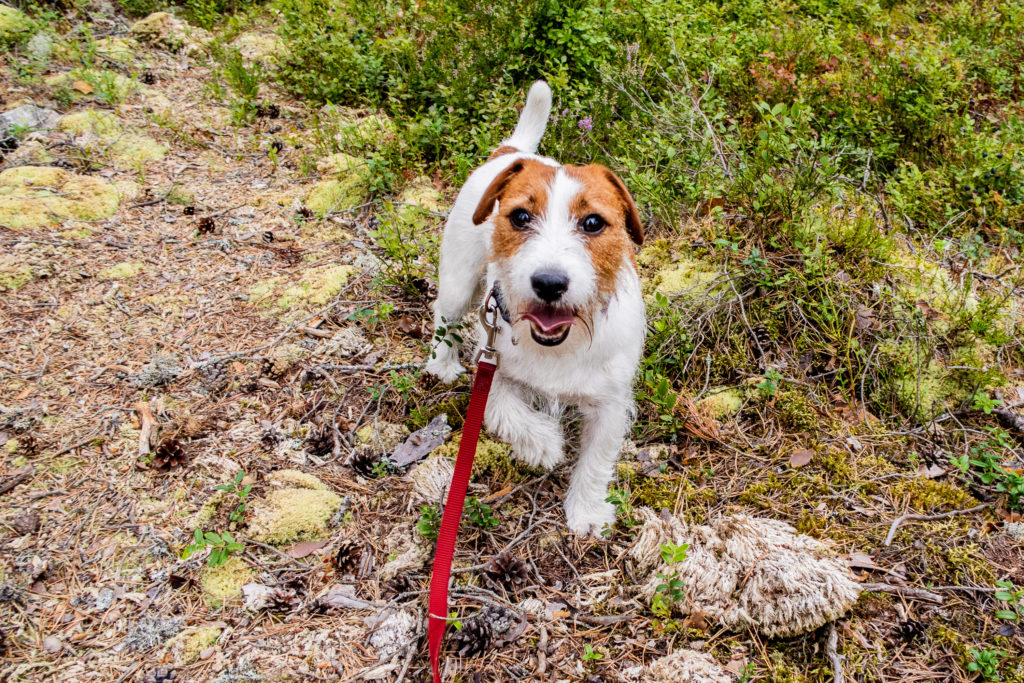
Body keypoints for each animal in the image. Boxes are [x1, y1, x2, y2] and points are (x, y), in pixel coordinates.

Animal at [428, 80, 643, 536]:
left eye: (593, 223)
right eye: (520, 217)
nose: (549, 283)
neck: (560, 345)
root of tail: (510, 151)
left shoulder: (610, 405)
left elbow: (596, 460)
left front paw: (586, 512)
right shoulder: (492, 371)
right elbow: (506, 412)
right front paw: (545, 445)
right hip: (459, 281)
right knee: (444, 315)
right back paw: (441, 363)